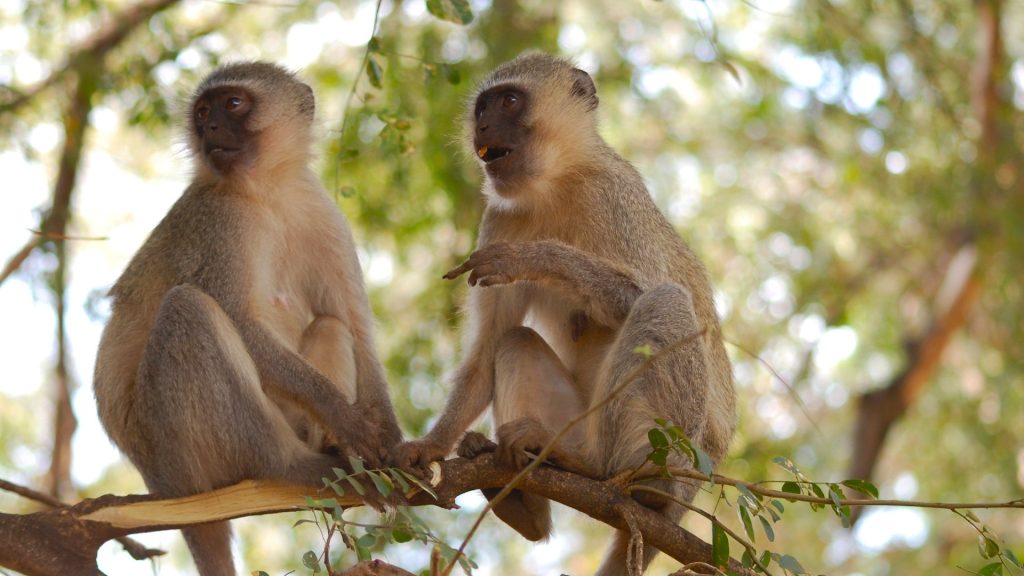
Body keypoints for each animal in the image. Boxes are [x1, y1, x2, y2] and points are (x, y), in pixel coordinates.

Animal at [94, 62, 401, 573]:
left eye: (233, 104)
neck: (267, 191)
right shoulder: (220, 221)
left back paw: (331, 449)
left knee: (330, 325)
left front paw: (395, 442)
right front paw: (351, 421)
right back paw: (291, 465)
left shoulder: (322, 213)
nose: (210, 129)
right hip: (179, 456)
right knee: (189, 308)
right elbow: (238, 320)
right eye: (202, 112)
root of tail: (162, 485)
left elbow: (355, 325)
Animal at [391, 51, 737, 569]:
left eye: (510, 102)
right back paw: (524, 496)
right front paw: (433, 446)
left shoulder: (614, 199)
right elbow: (489, 345)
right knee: (514, 341)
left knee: (666, 301)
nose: (483, 126)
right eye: (483, 108)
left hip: (677, 451)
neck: (556, 184)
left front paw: (532, 259)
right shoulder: (500, 218)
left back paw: (604, 470)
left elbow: (642, 291)